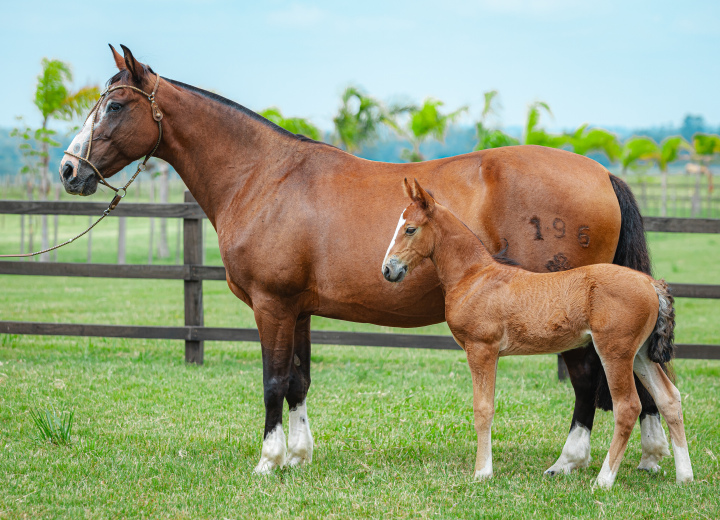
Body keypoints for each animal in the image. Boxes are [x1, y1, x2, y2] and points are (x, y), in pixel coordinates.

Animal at [59, 47, 672, 476]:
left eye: (114, 106)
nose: (68, 170)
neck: (264, 177)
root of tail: (600, 172)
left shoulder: (271, 305)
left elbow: (273, 380)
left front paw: (268, 461)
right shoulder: (299, 309)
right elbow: (299, 379)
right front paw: (299, 456)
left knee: (589, 380)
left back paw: (570, 462)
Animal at [382, 179, 692, 488]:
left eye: (410, 229)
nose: (388, 269)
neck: (475, 277)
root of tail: (651, 284)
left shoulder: (481, 348)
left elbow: (483, 409)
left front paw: (482, 472)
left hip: (615, 352)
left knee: (627, 406)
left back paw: (603, 480)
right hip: (640, 354)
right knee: (669, 398)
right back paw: (685, 476)